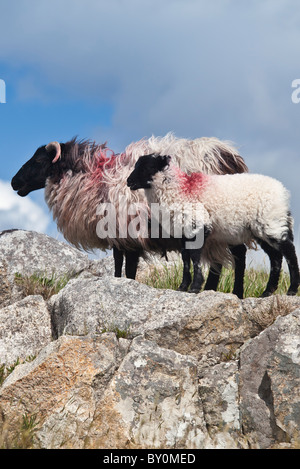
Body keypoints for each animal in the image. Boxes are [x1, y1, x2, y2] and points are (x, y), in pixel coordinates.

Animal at [10, 131, 248, 286]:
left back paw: (233, 293)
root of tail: (227, 157)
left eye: (39, 160)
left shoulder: (128, 233)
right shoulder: (119, 236)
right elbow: (119, 266)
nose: (13, 182)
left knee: (237, 254)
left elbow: (128, 268)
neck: (92, 179)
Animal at [127, 153, 300, 296]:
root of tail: (283, 192)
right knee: (275, 256)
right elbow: (185, 258)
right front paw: (183, 287)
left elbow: (195, 257)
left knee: (289, 251)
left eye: (148, 167)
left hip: (271, 220)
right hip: (259, 228)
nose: (129, 181)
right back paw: (267, 292)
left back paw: (292, 289)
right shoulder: (182, 230)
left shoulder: (197, 224)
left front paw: (195, 287)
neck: (180, 190)